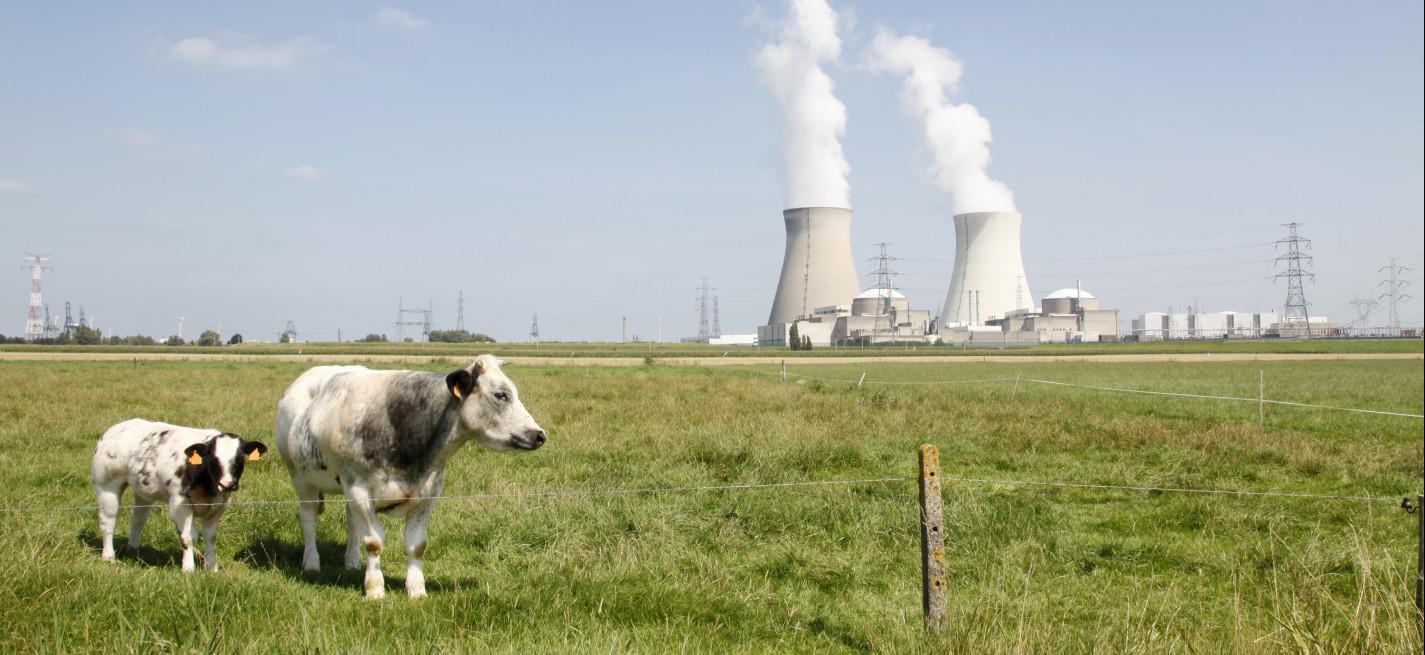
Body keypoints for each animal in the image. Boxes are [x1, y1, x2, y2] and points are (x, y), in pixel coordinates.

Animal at [91, 421, 267, 569]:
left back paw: (133, 550)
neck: (206, 483)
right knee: (108, 521)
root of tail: (115, 428)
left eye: (240, 458)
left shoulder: (217, 507)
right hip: (107, 486)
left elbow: (210, 537)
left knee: (138, 520)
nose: (227, 484)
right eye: (213, 458)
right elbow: (188, 537)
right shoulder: (179, 504)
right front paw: (188, 568)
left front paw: (212, 568)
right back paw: (109, 556)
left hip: (143, 492)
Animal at [276, 355, 544, 595]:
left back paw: (352, 561)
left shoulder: (427, 494)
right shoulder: (360, 490)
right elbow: (374, 542)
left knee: (351, 522)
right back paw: (311, 562)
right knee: (309, 517)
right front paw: (375, 589)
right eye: (501, 395)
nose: (539, 434)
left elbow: (417, 545)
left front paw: (416, 590)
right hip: (301, 478)